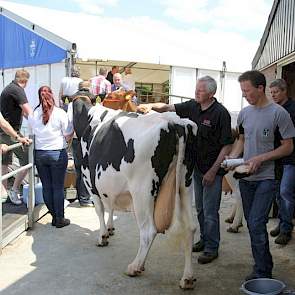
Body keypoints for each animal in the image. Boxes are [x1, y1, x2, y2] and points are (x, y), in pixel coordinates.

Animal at [73, 96, 199, 290]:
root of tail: (175, 123)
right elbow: (110, 207)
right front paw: (110, 229)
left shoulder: (89, 180)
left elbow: (100, 210)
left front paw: (102, 237)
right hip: (186, 183)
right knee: (190, 228)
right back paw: (187, 278)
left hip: (143, 190)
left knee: (148, 231)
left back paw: (135, 267)